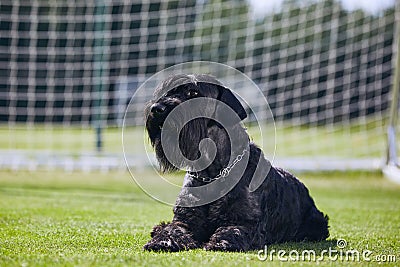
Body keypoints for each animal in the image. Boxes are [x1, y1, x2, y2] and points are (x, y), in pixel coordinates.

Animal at [144, 74, 328, 253]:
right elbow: (174, 228)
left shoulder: (245, 221)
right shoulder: (185, 219)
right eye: (167, 90)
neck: (212, 171)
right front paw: (163, 240)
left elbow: (233, 230)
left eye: (193, 92)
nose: (156, 108)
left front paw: (221, 242)